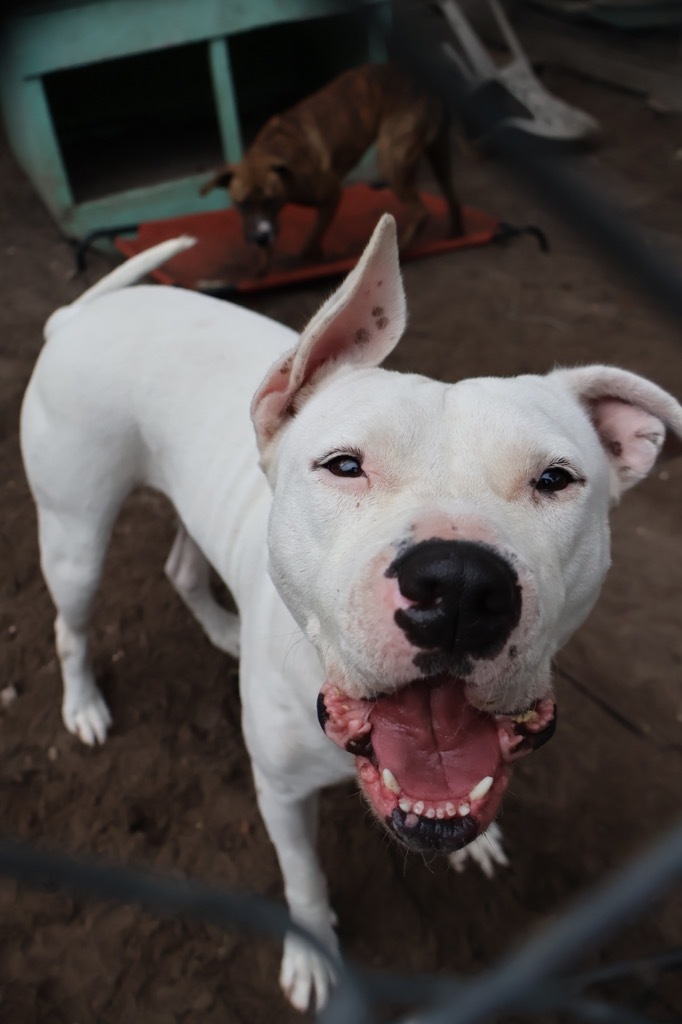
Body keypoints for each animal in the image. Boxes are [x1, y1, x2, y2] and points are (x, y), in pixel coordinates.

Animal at [21, 216, 679, 1007]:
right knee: (71, 626)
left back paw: (221, 629)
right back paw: (85, 705)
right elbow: (304, 883)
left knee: (181, 564)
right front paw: (314, 961)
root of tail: (77, 315)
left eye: (556, 479)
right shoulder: (279, 793)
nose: (460, 585)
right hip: (76, 537)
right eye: (343, 465)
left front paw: (484, 838)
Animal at [197, 62, 462, 272]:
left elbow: (312, 238)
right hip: (438, 156)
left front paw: (312, 256)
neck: (275, 150)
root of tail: (428, 90)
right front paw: (262, 267)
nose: (261, 237)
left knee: (421, 212)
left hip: (391, 158)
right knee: (451, 193)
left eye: (270, 200)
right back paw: (456, 231)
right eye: (241, 204)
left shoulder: (332, 195)